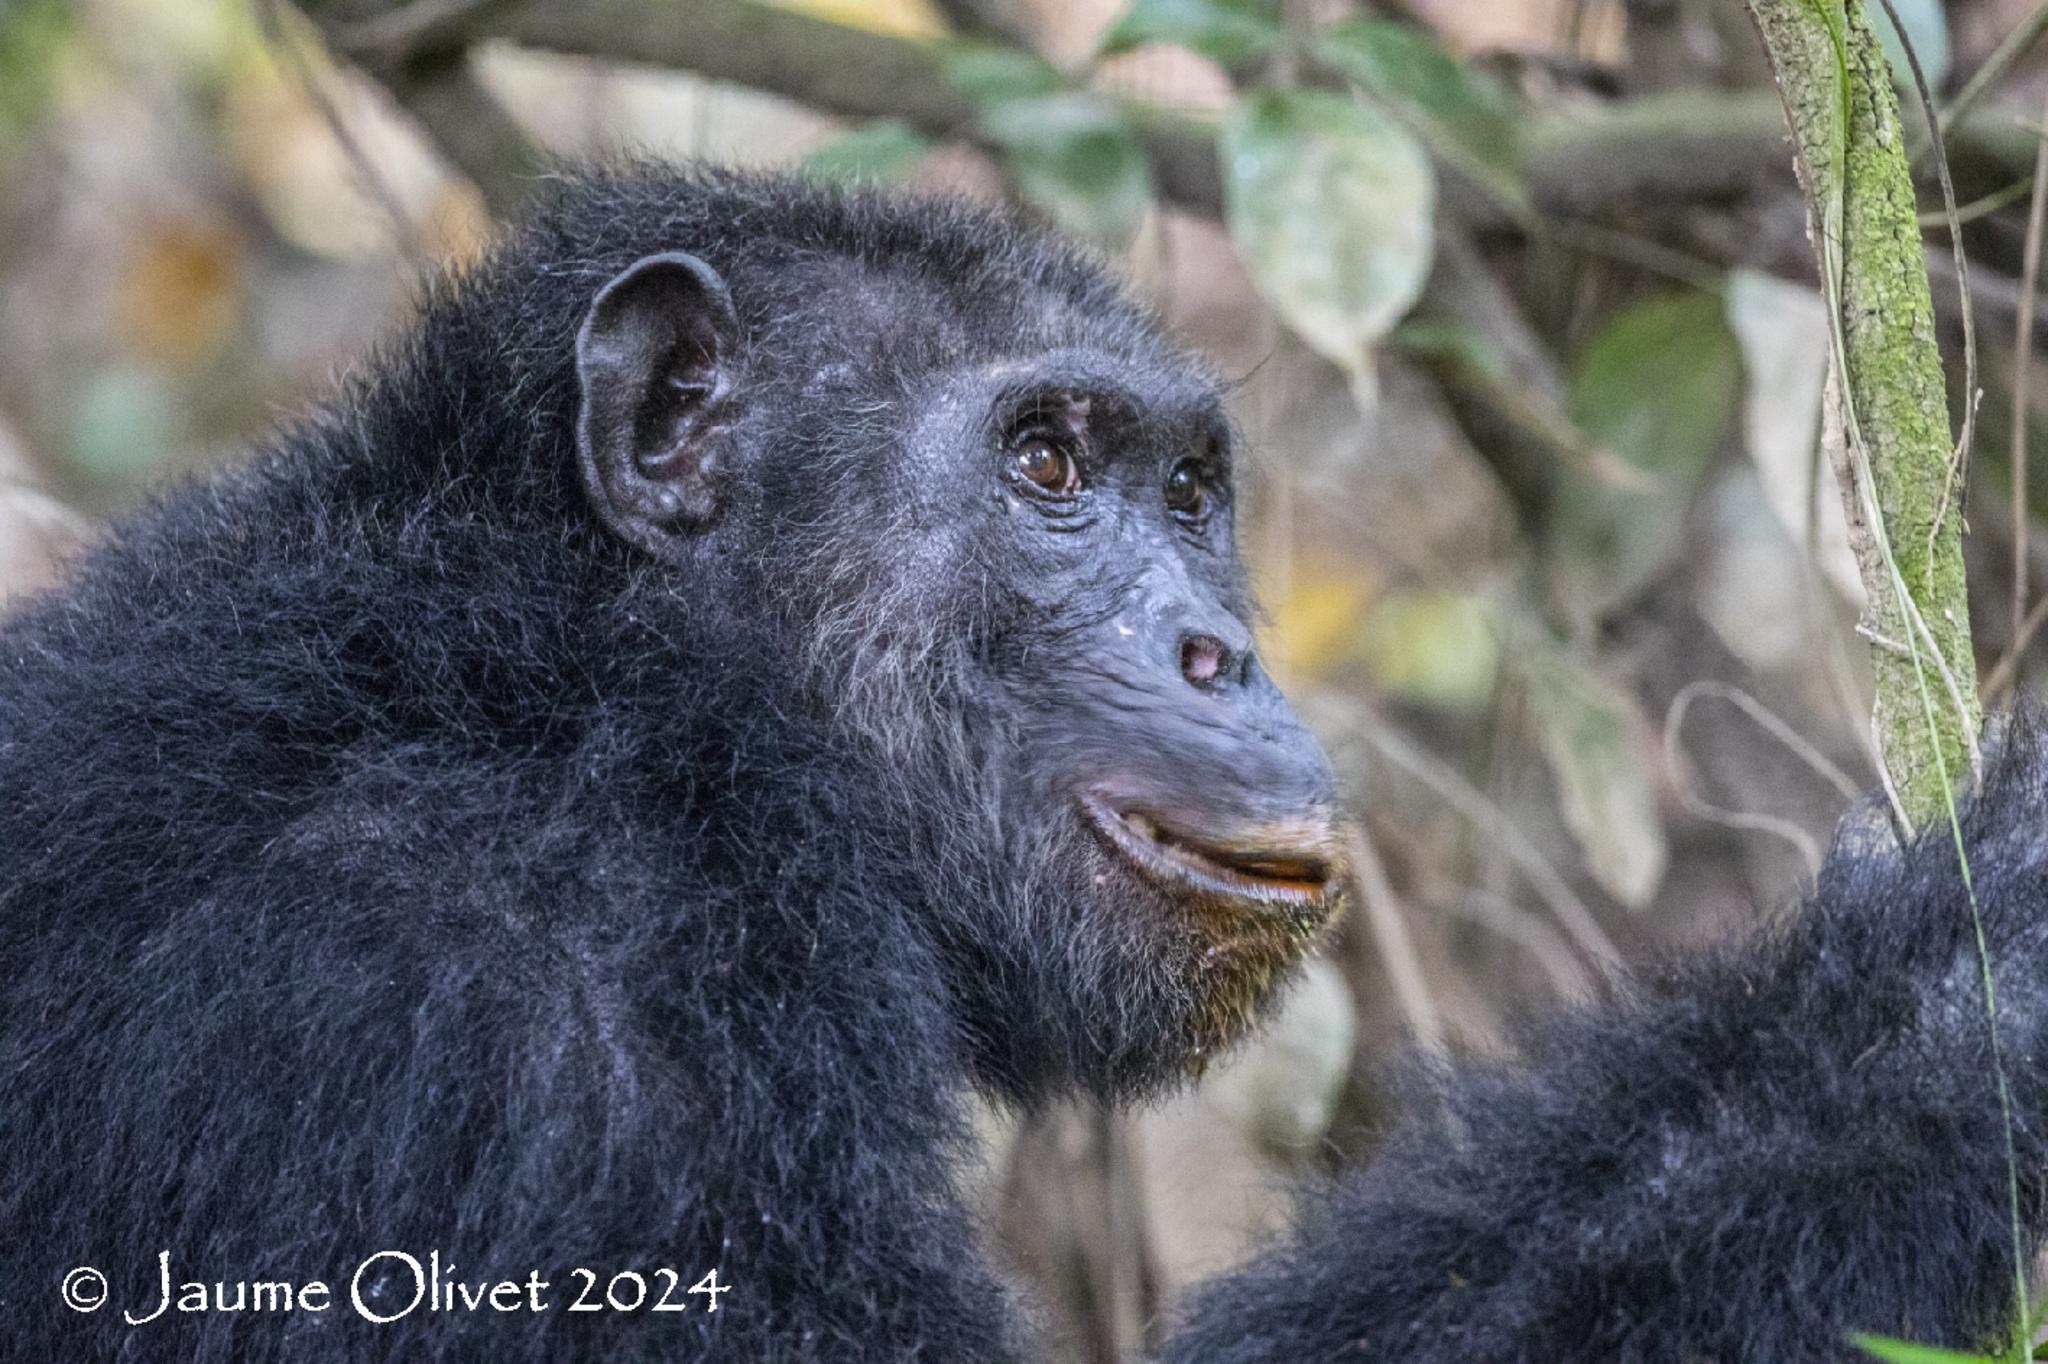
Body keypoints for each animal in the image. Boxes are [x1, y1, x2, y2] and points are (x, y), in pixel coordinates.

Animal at [0, 161, 2039, 1359]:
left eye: (1190, 491)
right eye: (1048, 464)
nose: (1219, 647)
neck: (608, 673)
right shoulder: (557, 1029)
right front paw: (1976, 971)